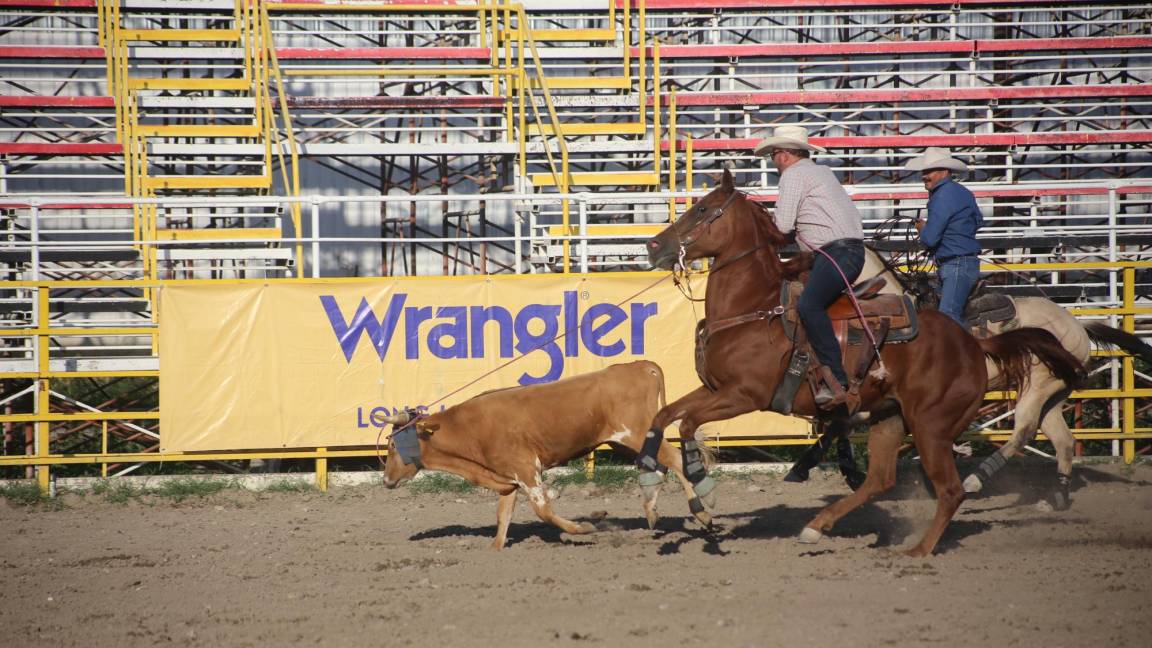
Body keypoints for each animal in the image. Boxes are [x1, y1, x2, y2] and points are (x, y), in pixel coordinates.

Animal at [635, 171, 1082, 555]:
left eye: (704, 209)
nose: (654, 246)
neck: (755, 309)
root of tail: (973, 344)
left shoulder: (744, 395)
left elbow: (689, 424)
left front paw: (702, 489)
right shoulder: (714, 389)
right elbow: (663, 416)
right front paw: (650, 472)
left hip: (932, 426)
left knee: (953, 488)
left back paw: (919, 549)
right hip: (890, 418)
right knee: (881, 479)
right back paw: (816, 527)